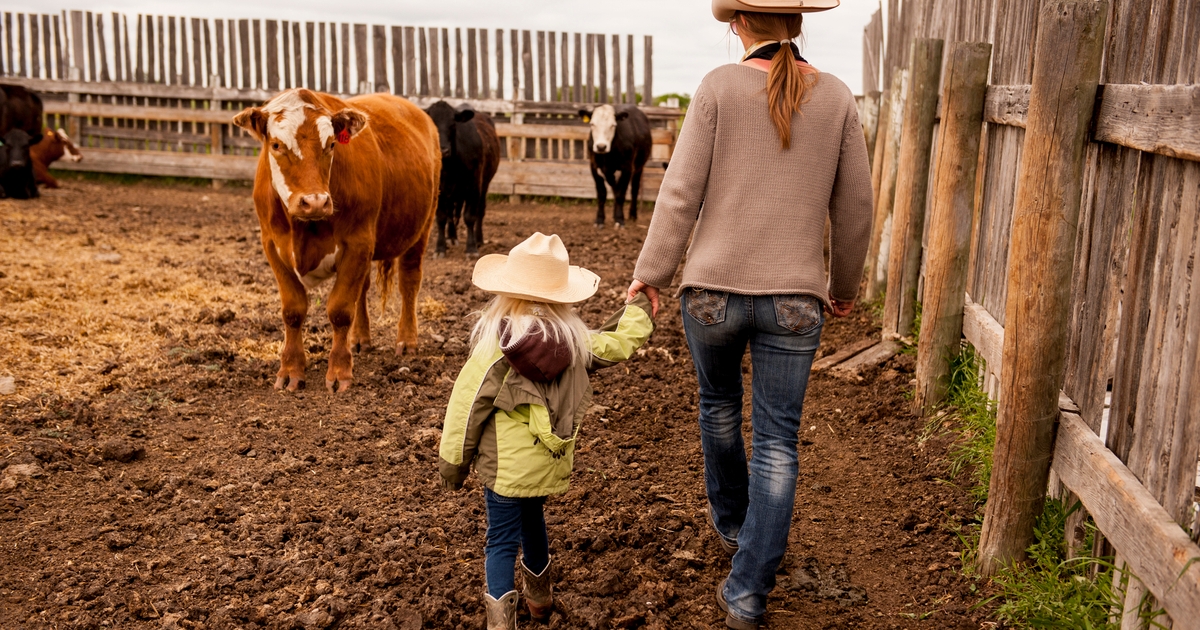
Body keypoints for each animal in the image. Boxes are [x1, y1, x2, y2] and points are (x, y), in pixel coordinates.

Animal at [234, 88, 441, 393]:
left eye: (331, 144)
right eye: (276, 145)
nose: (315, 202)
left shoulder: (357, 243)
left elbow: (341, 310)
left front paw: (339, 373)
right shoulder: (272, 245)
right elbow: (293, 311)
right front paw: (290, 371)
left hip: (421, 227)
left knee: (409, 282)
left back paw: (406, 340)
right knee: (363, 289)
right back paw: (360, 340)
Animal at [424, 99, 499, 256]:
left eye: (453, 125)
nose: (443, 150)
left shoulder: (474, 185)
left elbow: (470, 217)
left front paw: (471, 248)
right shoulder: (440, 189)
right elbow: (441, 217)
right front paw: (440, 248)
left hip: (484, 185)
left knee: (479, 211)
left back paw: (478, 239)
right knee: (451, 212)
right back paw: (451, 237)